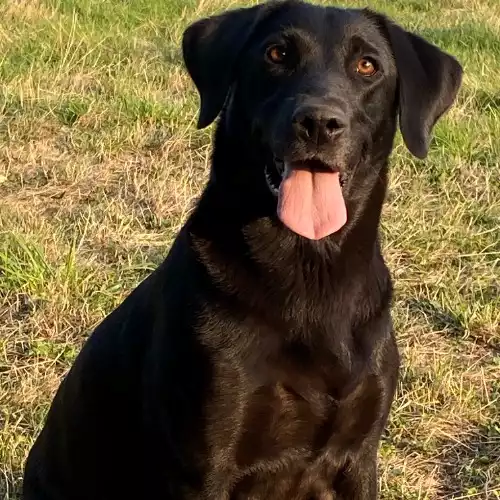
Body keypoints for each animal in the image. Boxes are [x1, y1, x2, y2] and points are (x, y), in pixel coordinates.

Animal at [22, 1, 460, 498]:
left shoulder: (358, 458)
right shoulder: (205, 467)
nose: (319, 123)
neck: (310, 271)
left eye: (368, 66)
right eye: (277, 54)